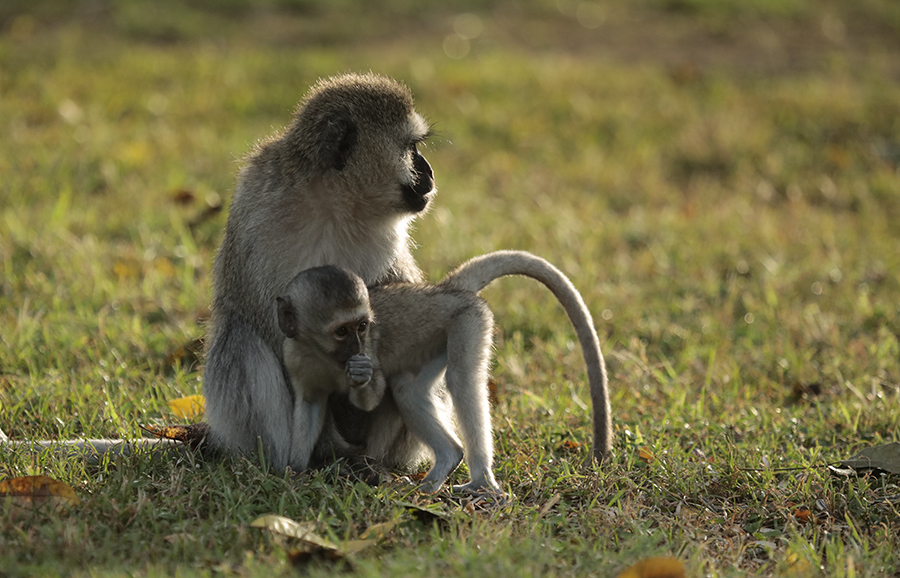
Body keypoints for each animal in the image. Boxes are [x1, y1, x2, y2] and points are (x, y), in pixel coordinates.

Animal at [278, 250, 608, 492]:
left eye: (361, 327)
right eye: (341, 331)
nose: (358, 348)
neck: (325, 356)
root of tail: (446, 291)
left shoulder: (369, 350)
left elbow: (372, 397)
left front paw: (361, 377)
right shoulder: (294, 357)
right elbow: (310, 405)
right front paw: (294, 473)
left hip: (468, 320)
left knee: (461, 381)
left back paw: (480, 480)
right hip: (435, 344)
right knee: (408, 389)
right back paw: (447, 460)